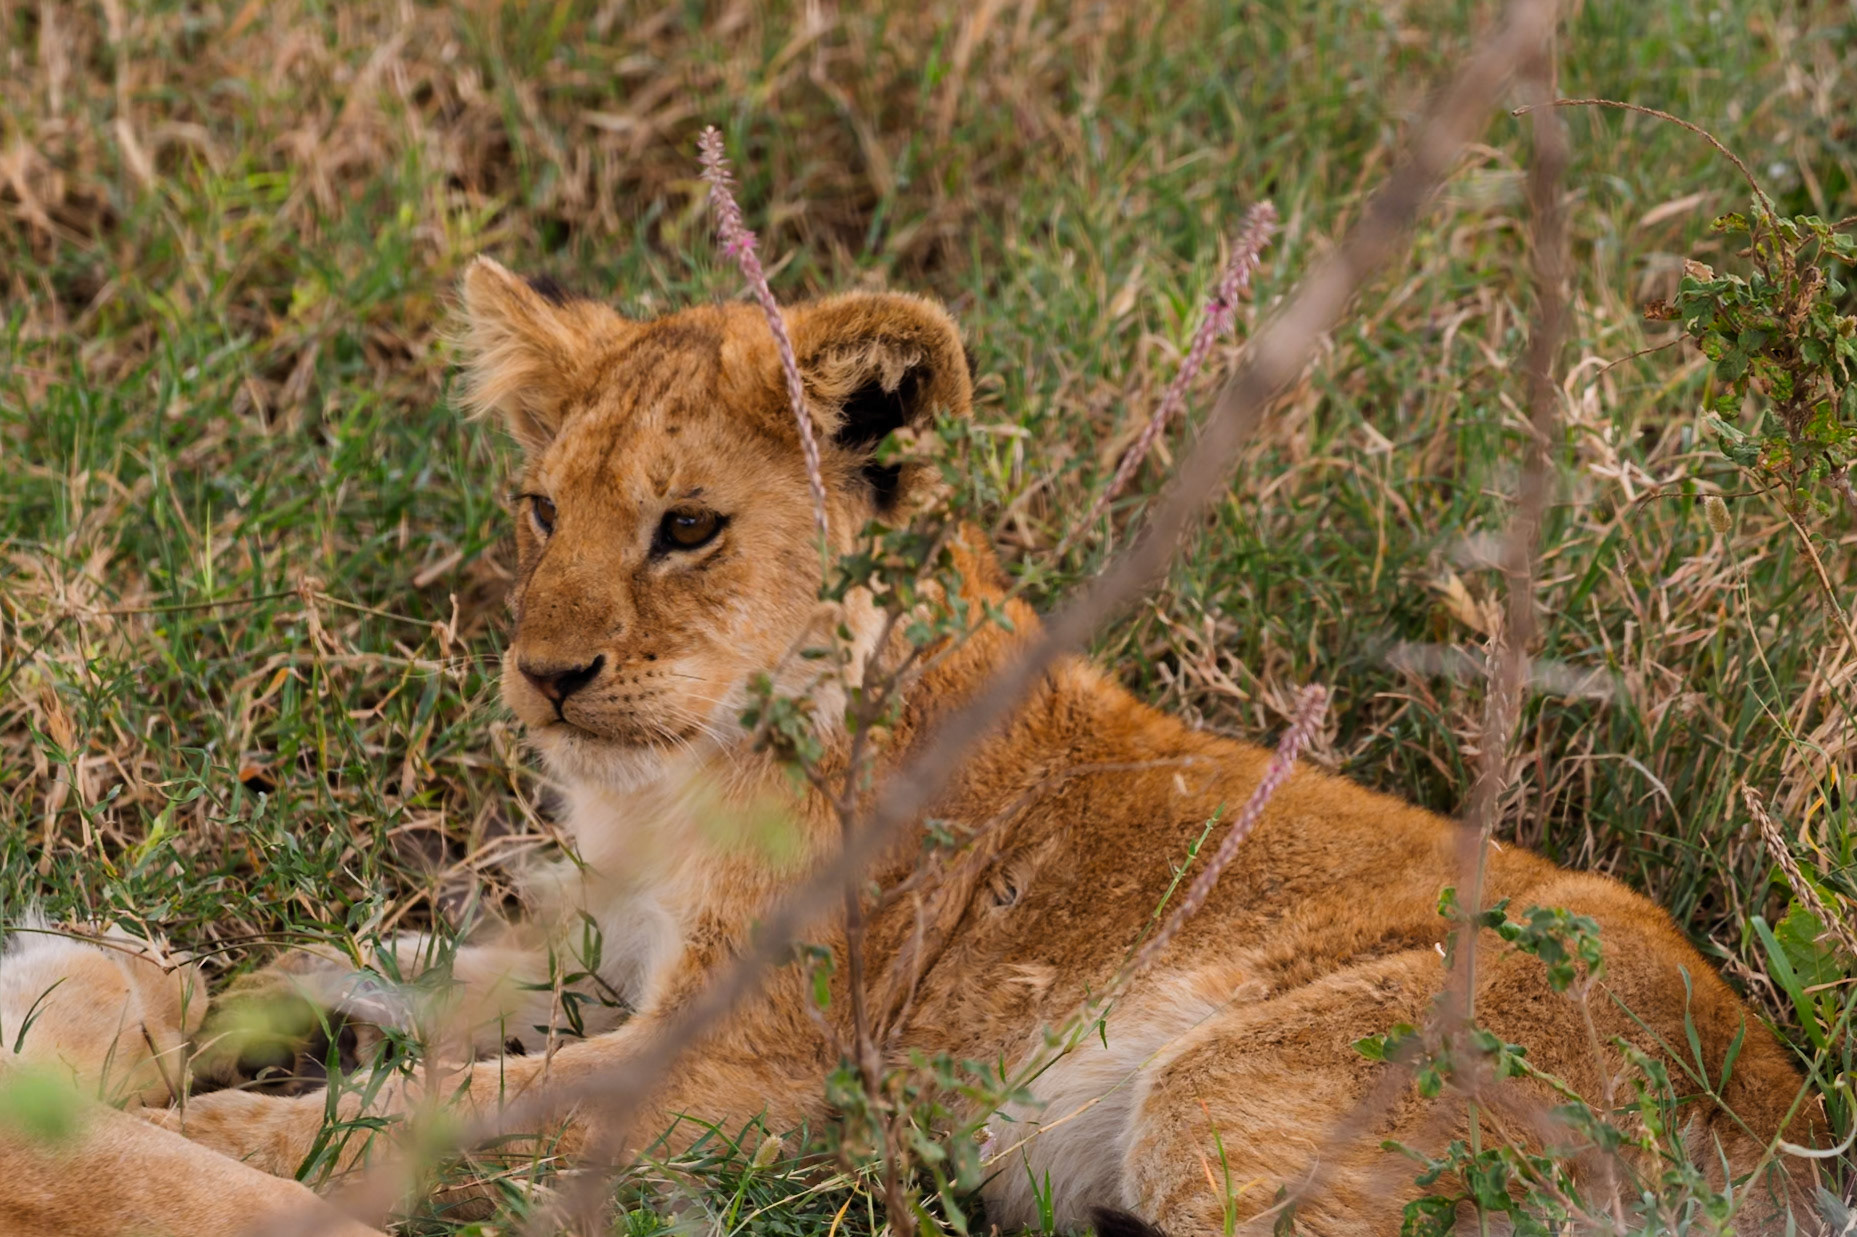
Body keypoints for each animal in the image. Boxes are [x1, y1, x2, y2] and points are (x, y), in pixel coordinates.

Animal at [7, 259, 1825, 1236]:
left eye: (685, 527)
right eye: (539, 507)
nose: (545, 674)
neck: (686, 778)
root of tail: (1777, 1115)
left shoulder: (741, 1065)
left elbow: (423, 1105)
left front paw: (184, 1132)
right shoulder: (605, 955)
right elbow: (377, 971)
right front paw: (172, 997)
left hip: (1230, 1095)